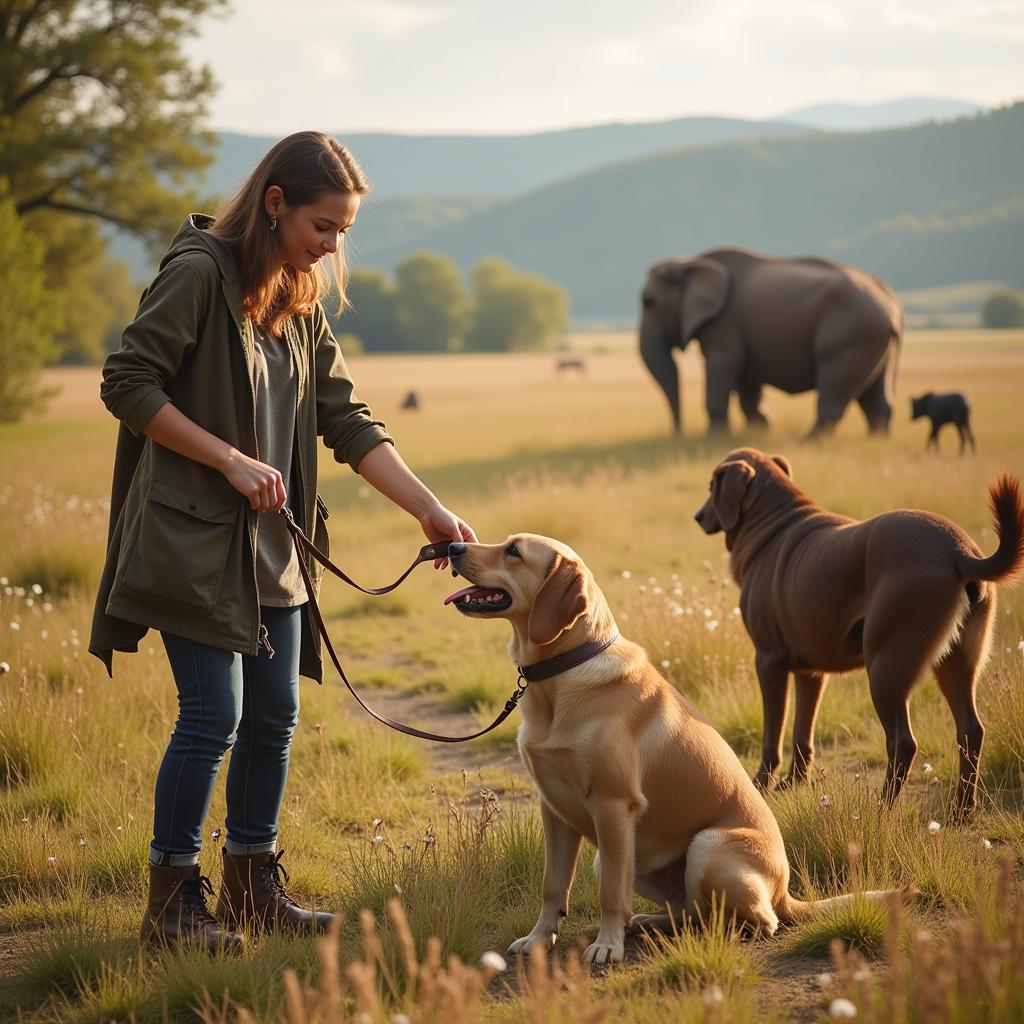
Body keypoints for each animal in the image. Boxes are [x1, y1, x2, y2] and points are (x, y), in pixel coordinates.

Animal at [444, 540, 901, 962]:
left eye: (513, 551)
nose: (453, 545)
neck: (564, 673)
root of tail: (786, 892)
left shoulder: (613, 805)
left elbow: (610, 894)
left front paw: (606, 945)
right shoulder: (554, 809)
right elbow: (553, 885)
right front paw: (540, 939)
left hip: (705, 847)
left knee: (755, 920)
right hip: (627, 858)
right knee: (690, 910)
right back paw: (651, 922)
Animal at [638, 251, 905, 440]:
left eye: (648, 302)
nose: (677, 434)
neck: (691, 263)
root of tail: (891, 305)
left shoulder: (724, 323)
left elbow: (723, 363)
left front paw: (713, 437)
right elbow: (746, 380)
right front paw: (759, 429)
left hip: (852, 337)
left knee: (834, 381)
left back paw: (808, 441)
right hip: (878, 343)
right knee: (877, 394)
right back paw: (876, 439)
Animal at [692, 448, 1019, 815]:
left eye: (713, 485)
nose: (698, 516)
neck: (772, 524)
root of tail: (959, 552)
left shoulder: (768, 660)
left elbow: (772, 736)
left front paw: (760, 784)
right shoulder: (810, 671)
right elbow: (802, 733)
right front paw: (793, 783)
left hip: (886, 668)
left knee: (903, 742)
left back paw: (881, 809)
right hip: (955, 665)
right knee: (970, 731)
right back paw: (961, 811)